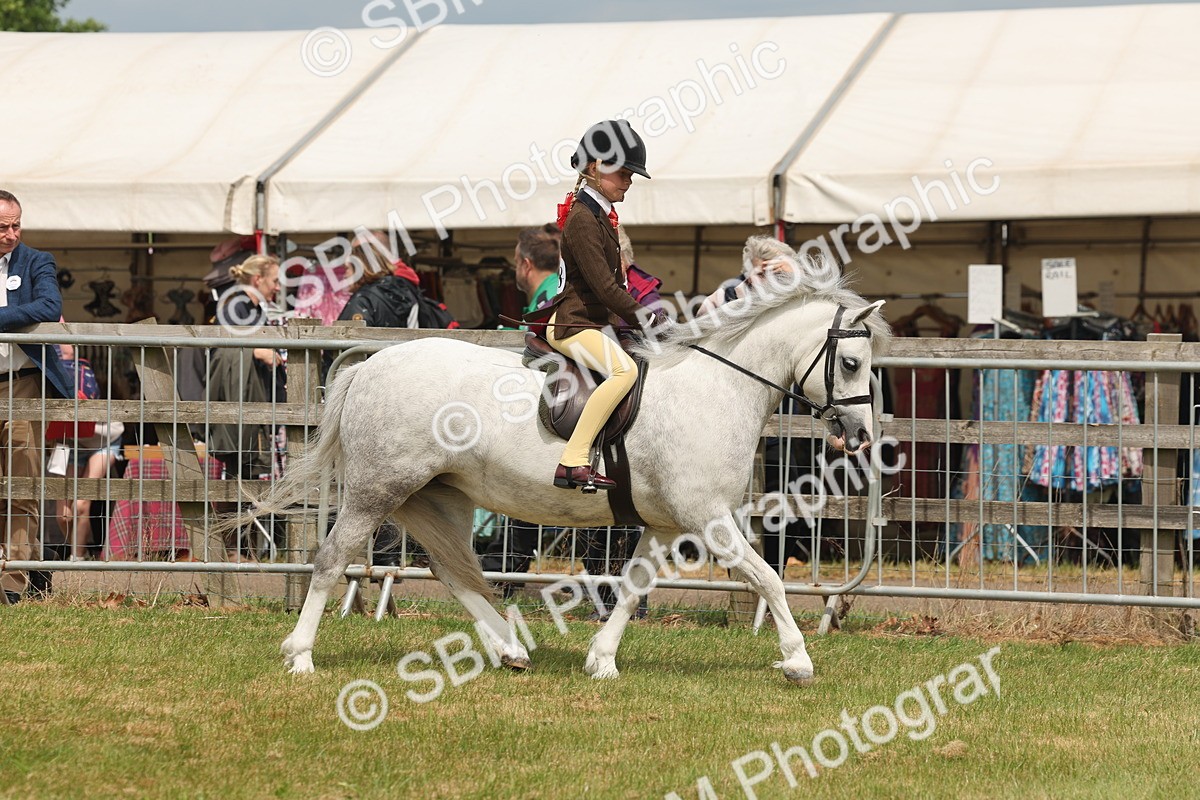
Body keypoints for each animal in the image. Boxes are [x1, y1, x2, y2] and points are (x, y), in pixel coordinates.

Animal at [260, 245, 889, 685]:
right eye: (851, 362)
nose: (861, 436)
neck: (715, 388)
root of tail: (370, 364)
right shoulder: (707, 517)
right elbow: (767, 578)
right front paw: (798, 661)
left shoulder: (664, 523)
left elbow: (633, 586)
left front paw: (602, 661)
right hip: (378, 490)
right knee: (333, 559)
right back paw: (300, 655)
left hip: (436, 493)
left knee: (452, 570)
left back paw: (511, 649)